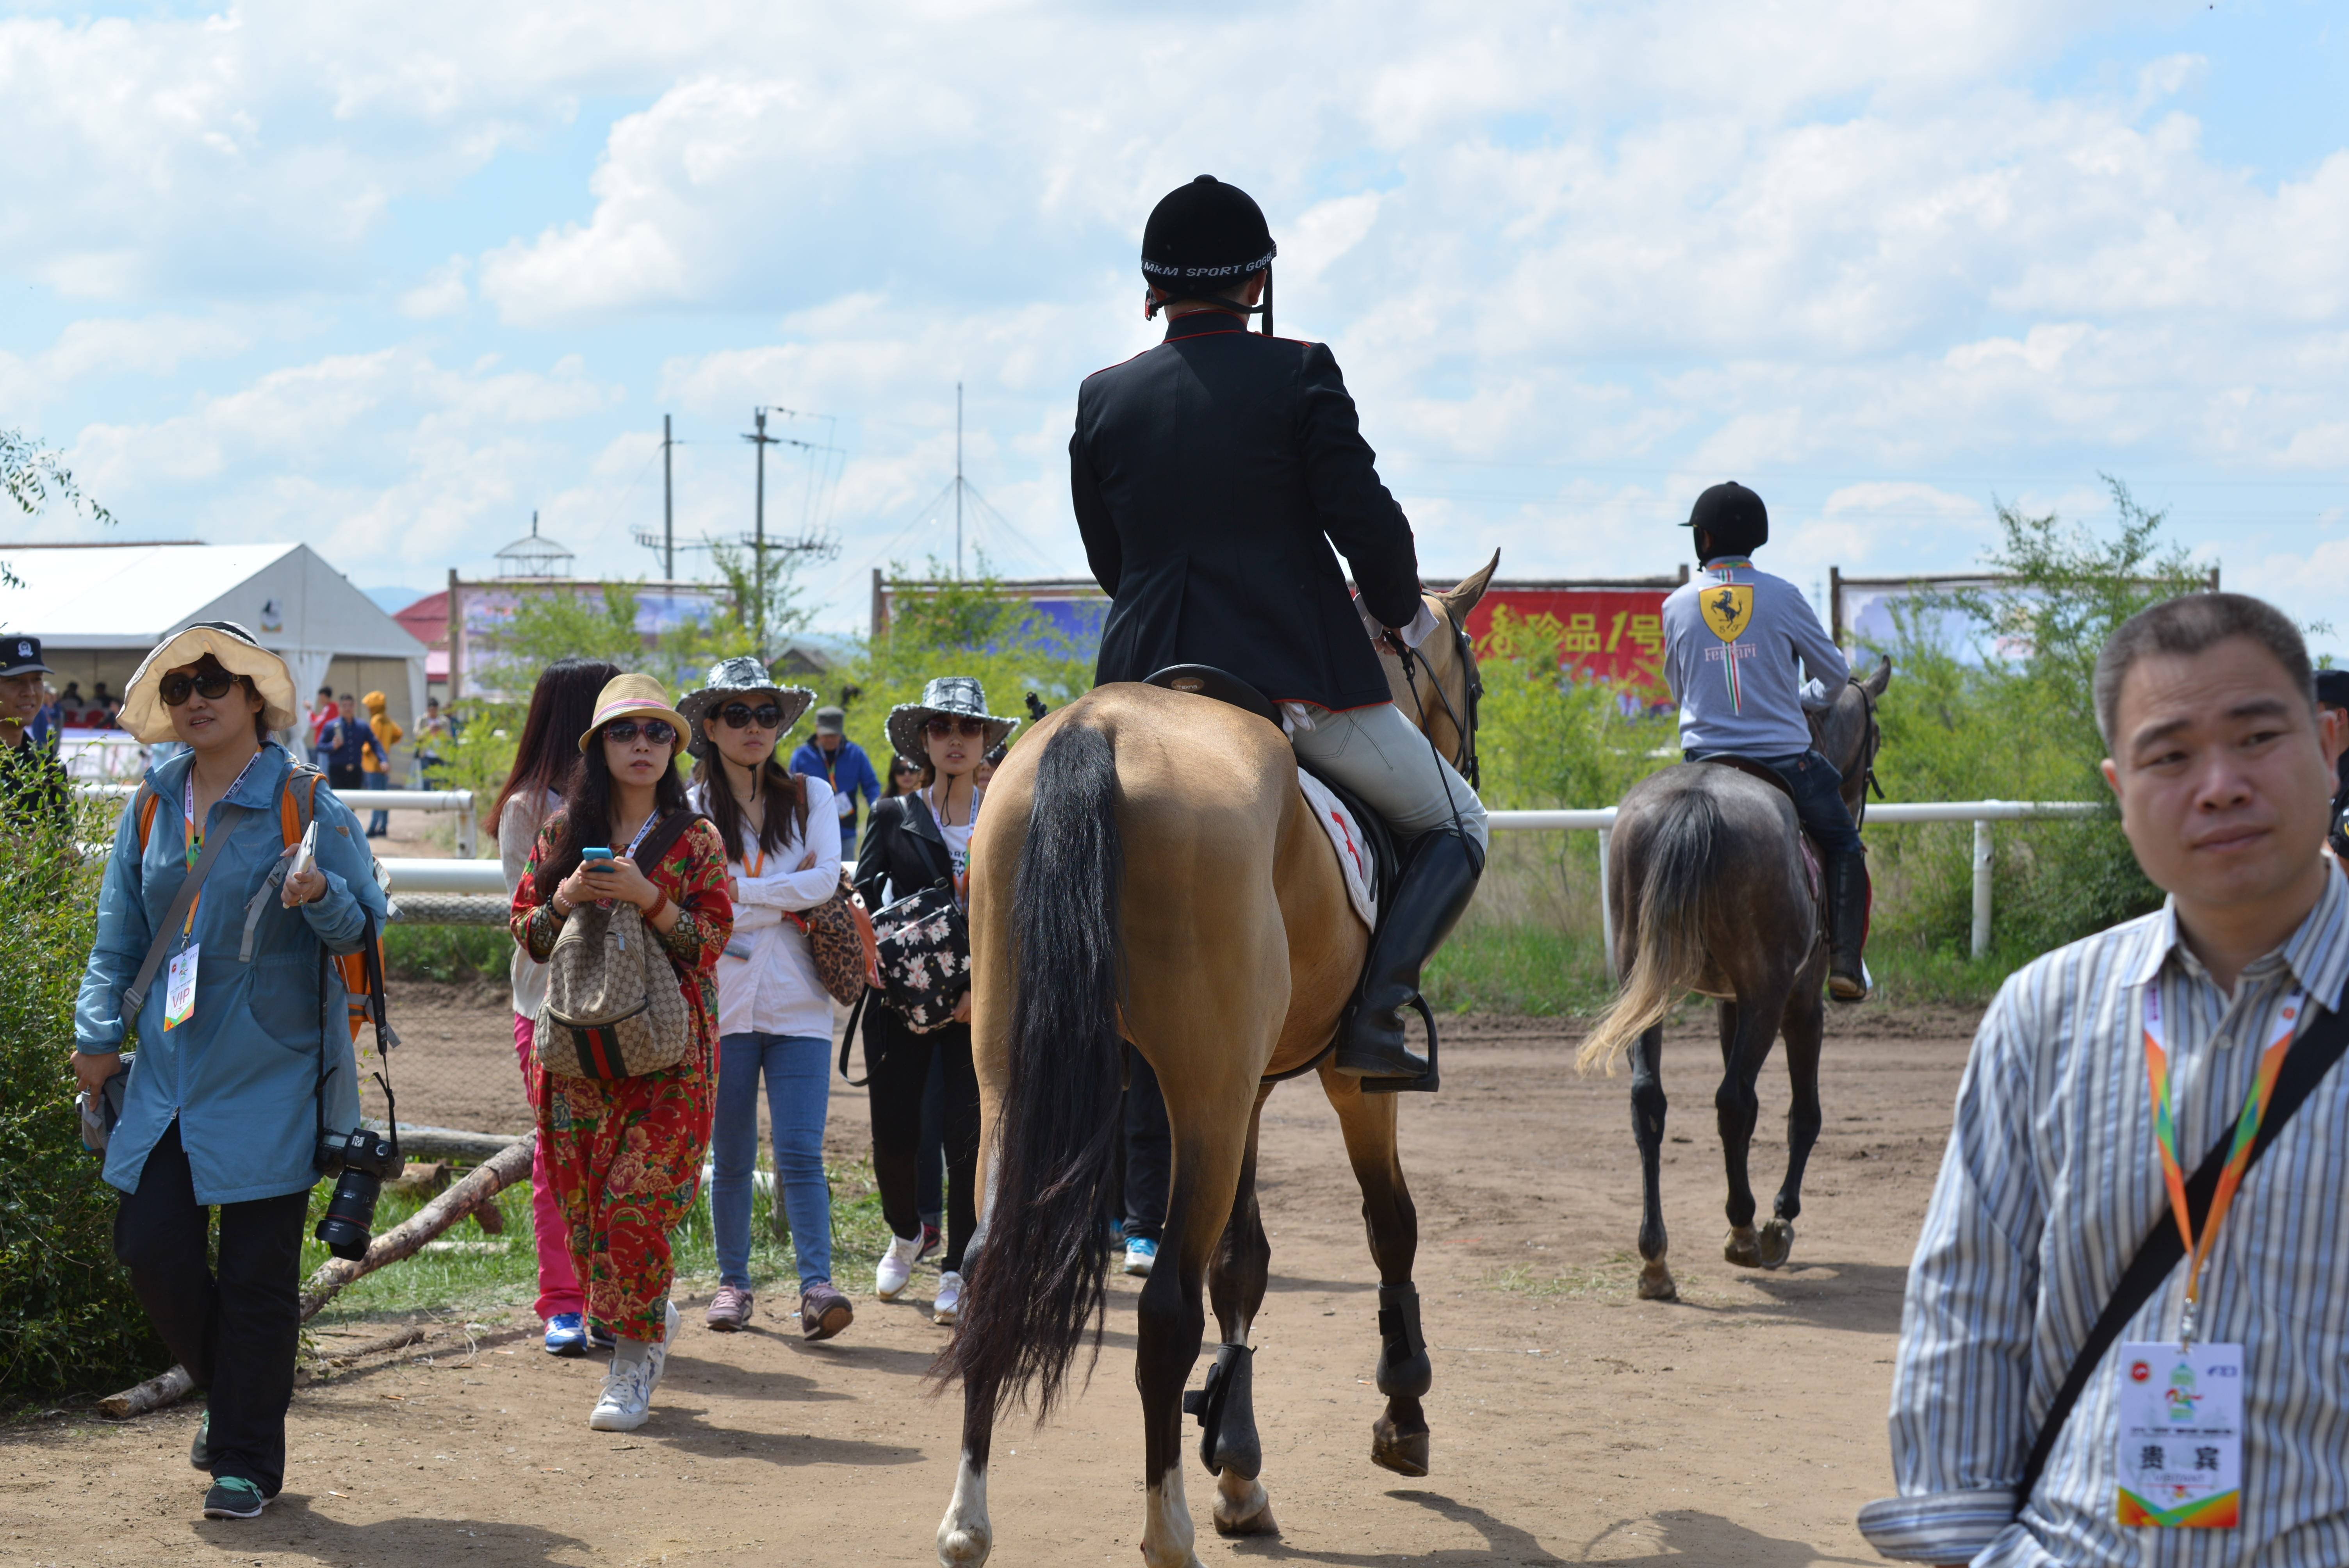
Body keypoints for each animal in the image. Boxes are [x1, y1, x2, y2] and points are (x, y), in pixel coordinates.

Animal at [930, 556, 1494, 1558]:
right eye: (1470, 674)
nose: (1466, 760)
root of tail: (1099, 729)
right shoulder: (1344, 1083)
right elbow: (1388, 1224)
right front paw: (1401, 1412)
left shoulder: (1250, 1089)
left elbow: (1243, 1260)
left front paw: (1237, 1463)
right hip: (1202, 1094)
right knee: (1165, 1311)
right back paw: (1168, 1529)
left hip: (1023, 1080)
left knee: (994, 1260)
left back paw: (968, 1521)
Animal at [1578, 657, 1888, 1305]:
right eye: (1875, 735)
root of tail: (1695, 800)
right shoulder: (1799, 1004)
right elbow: (1803, 1113)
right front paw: (1779, 1219)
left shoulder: (1730, 1003)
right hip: (1771, 996)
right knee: (1735, 1099)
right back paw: (1747, 1231)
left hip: (1647, 987)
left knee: (1651, 1100)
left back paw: (1656, 1260)